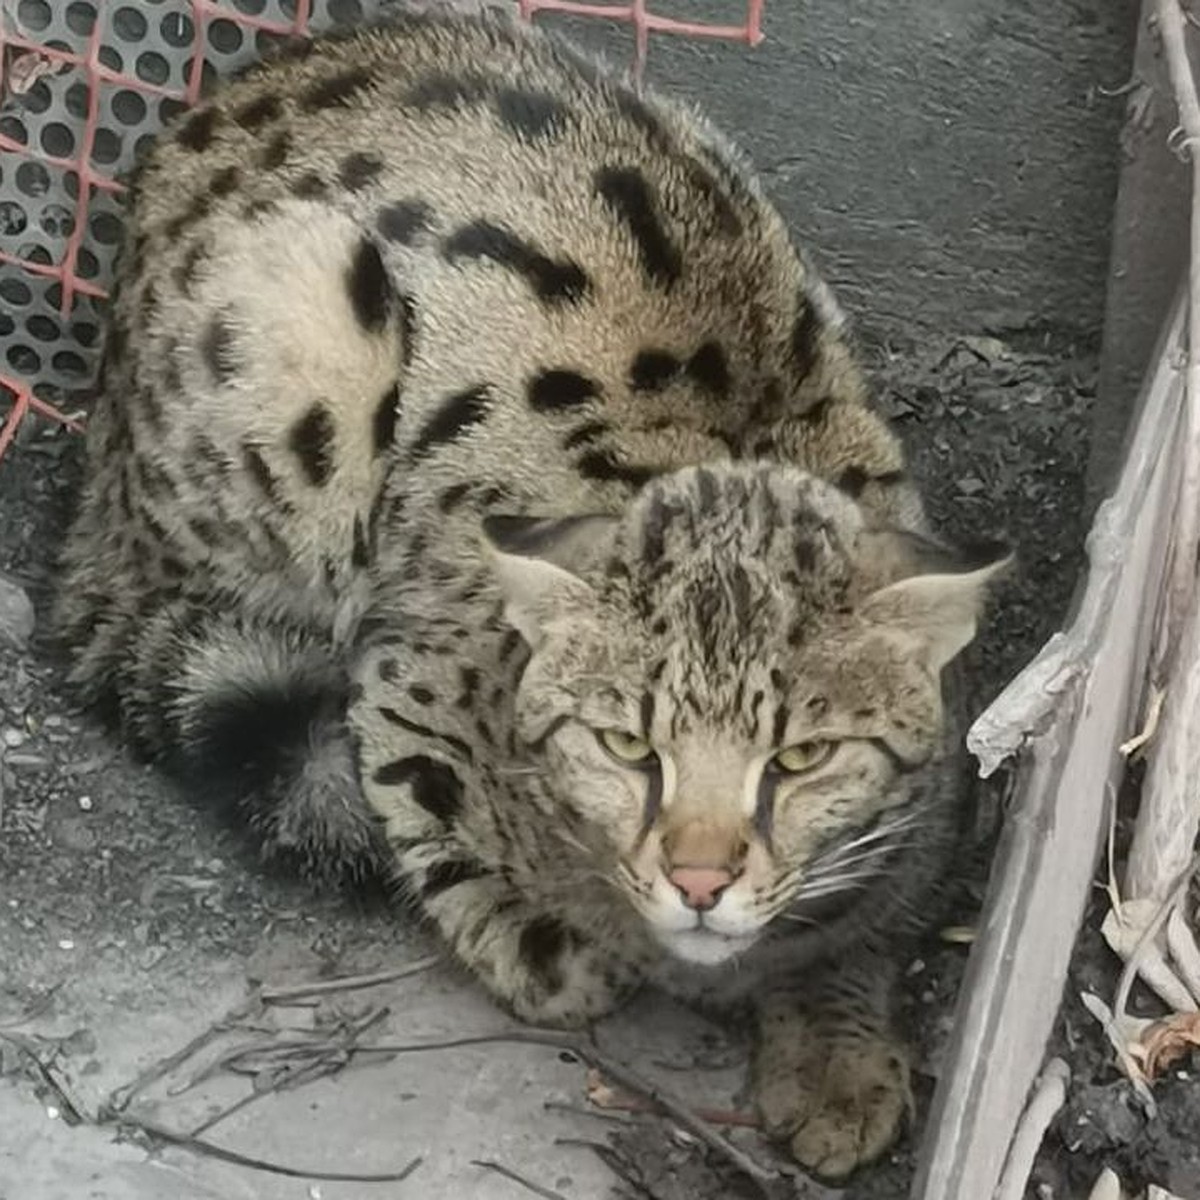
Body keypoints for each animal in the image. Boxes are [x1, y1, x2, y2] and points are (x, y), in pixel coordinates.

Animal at [60, 9, 1008, 1176]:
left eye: (801, 760)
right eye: (628, 748)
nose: (700, 882)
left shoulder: (929, 823)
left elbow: (865, 931)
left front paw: (840, 1058)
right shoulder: (408, 672)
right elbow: (449, 822)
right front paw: (545, 937)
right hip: (300, 340)